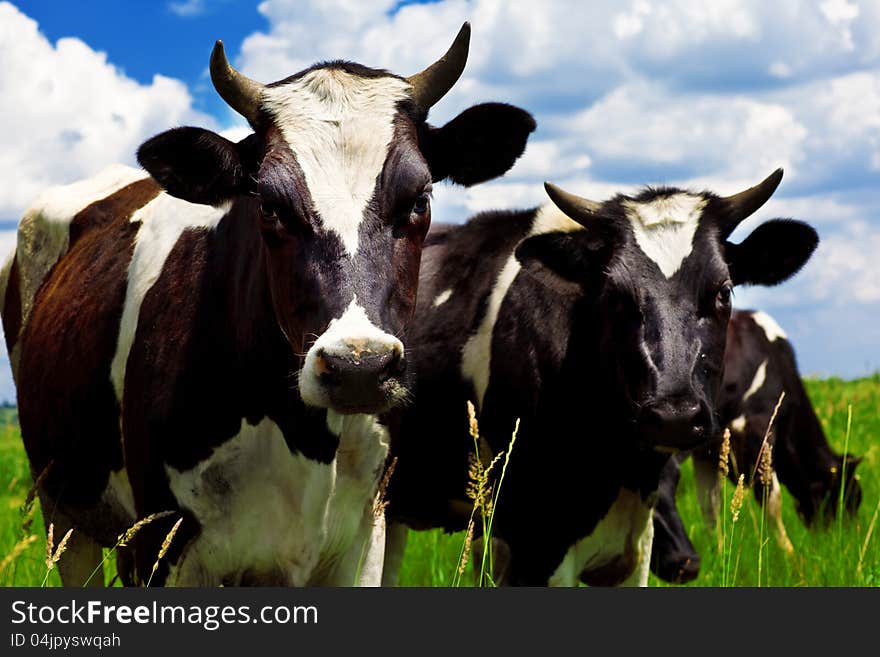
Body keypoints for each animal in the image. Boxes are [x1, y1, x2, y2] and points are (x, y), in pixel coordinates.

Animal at [0, 25, 536, 588]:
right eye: (269, 205)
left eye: (419, 199)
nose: (359, 367)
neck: (304, 438)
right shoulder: (160, 545)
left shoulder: (366, 540)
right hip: (63, 505)